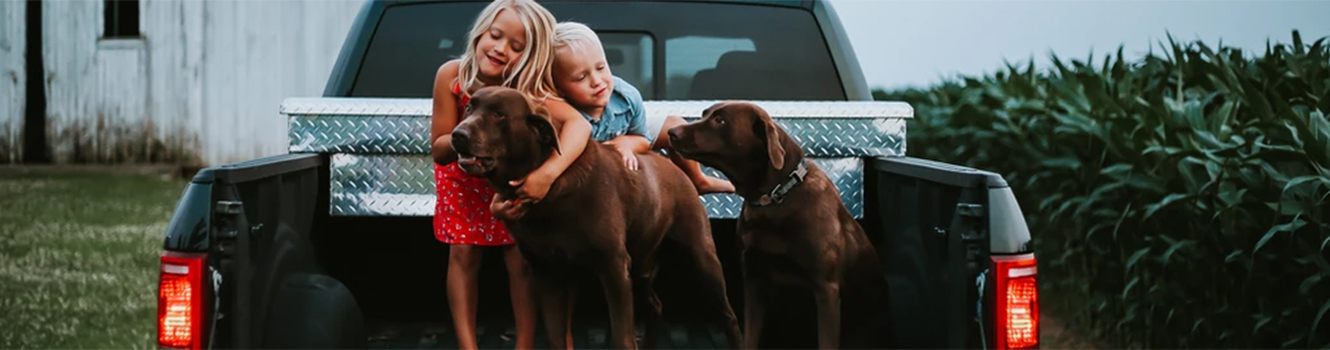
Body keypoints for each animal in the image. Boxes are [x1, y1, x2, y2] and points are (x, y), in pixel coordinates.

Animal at [449, 86, 744, 348]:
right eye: (469, 108)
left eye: (499, 114)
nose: (457, 134)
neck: (551, 193)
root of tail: (675, 168)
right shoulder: (547, 272)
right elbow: (555, 336)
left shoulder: (613, 266)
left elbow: (622, 337)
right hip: (642, 265)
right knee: (656, 305)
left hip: (701, 257)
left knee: (727, 315)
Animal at [670, 101, 888, 348]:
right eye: (704, 114)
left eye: (720, 120)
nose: (672, 132)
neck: (775, 198)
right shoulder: (754, 282)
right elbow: (750, 337)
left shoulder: (826, 288)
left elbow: (826, 341)